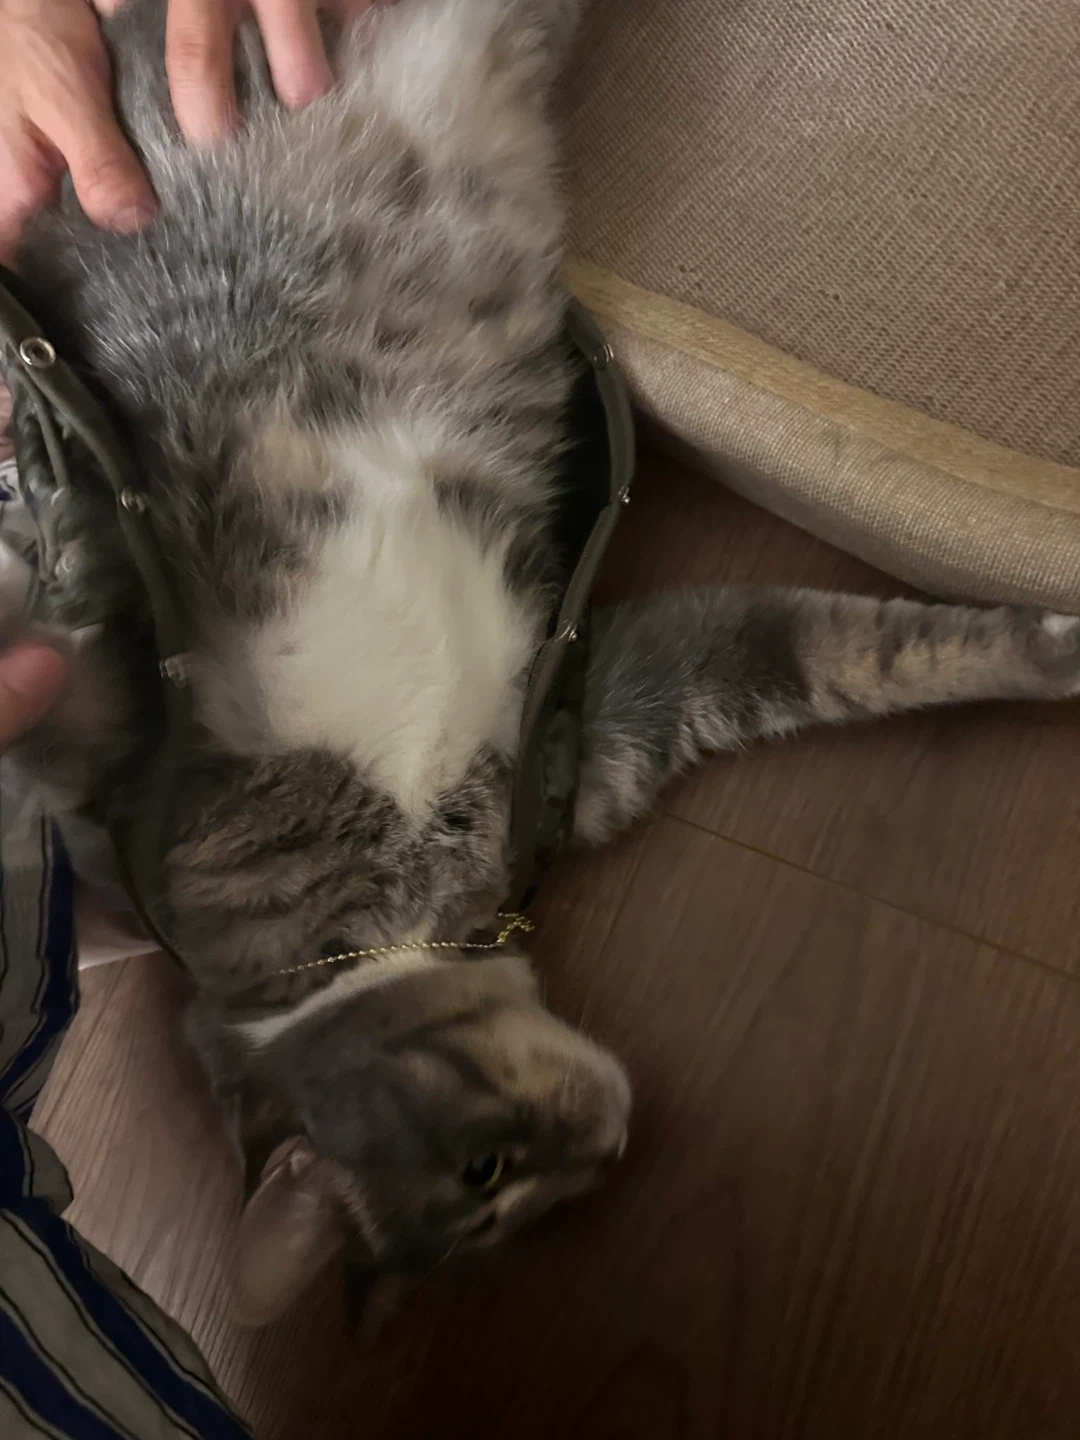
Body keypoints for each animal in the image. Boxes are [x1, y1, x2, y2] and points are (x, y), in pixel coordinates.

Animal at [6, 0, 1079, 1326]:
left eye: (485, 1171)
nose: (612, 1142)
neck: (394, 932)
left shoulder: (179, 766)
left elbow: (74, 713)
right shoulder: (606, 706)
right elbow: (851, 650)